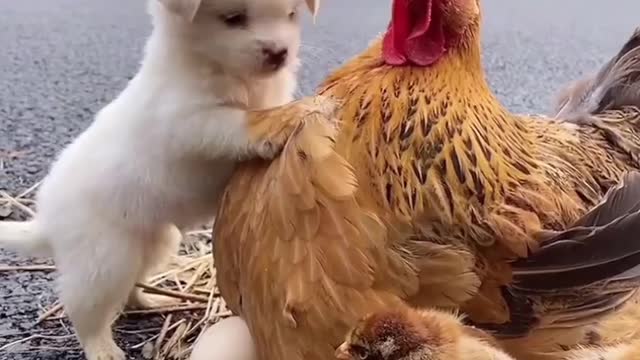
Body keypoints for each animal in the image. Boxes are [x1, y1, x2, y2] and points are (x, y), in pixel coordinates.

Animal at [0, 0, 320, 358]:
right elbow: (239, 121)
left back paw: (149, 301)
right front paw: (282, 121)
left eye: (292, 14)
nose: (279, 53)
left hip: (154, 242)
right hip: (103, 260)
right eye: (233, 18)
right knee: (85, 310)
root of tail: (45, 223)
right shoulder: (189, 120)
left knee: (130, 287)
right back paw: (102, 347)